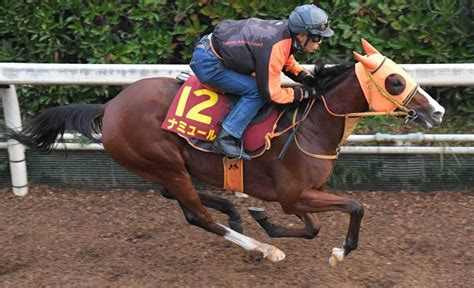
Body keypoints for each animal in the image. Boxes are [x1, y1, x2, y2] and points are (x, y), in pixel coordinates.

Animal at [5, 38, 444, 266]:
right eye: (394, 81)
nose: (437, 111)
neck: (311, 124)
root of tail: (109, 107)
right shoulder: (293, 194)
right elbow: (354, 206)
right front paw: (340, 251)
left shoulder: (297, 195)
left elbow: (312, 226)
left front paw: (262, 218)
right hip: (163, 161)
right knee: (196, 214)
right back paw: (263, 248)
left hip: (168, 166)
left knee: (180, 199)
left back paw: (236, 212)